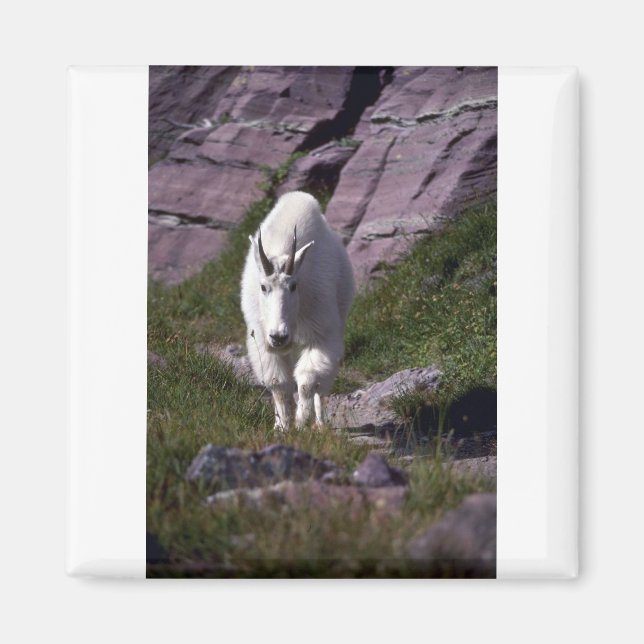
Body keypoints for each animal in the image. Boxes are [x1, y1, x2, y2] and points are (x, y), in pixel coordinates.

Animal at [240, 191, 355, 429]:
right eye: (263, 287)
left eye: (294, 286)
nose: (279, 336)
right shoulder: (262, 341)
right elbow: (278, 385)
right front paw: (283, 426)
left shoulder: (321, 335)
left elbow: (308, 382)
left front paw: (302, 421)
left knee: (322, 386)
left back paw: (320, 424)